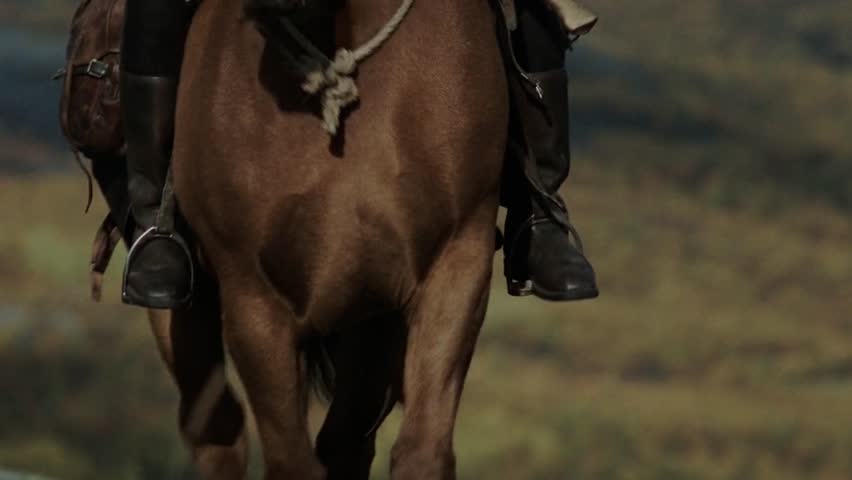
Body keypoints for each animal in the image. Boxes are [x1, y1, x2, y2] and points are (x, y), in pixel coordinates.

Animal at [143, 0, 510, 480]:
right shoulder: (253, 299)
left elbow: (421, 451)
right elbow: (290, 461)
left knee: (344, 440)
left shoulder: (457, 262)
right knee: (217, 432)